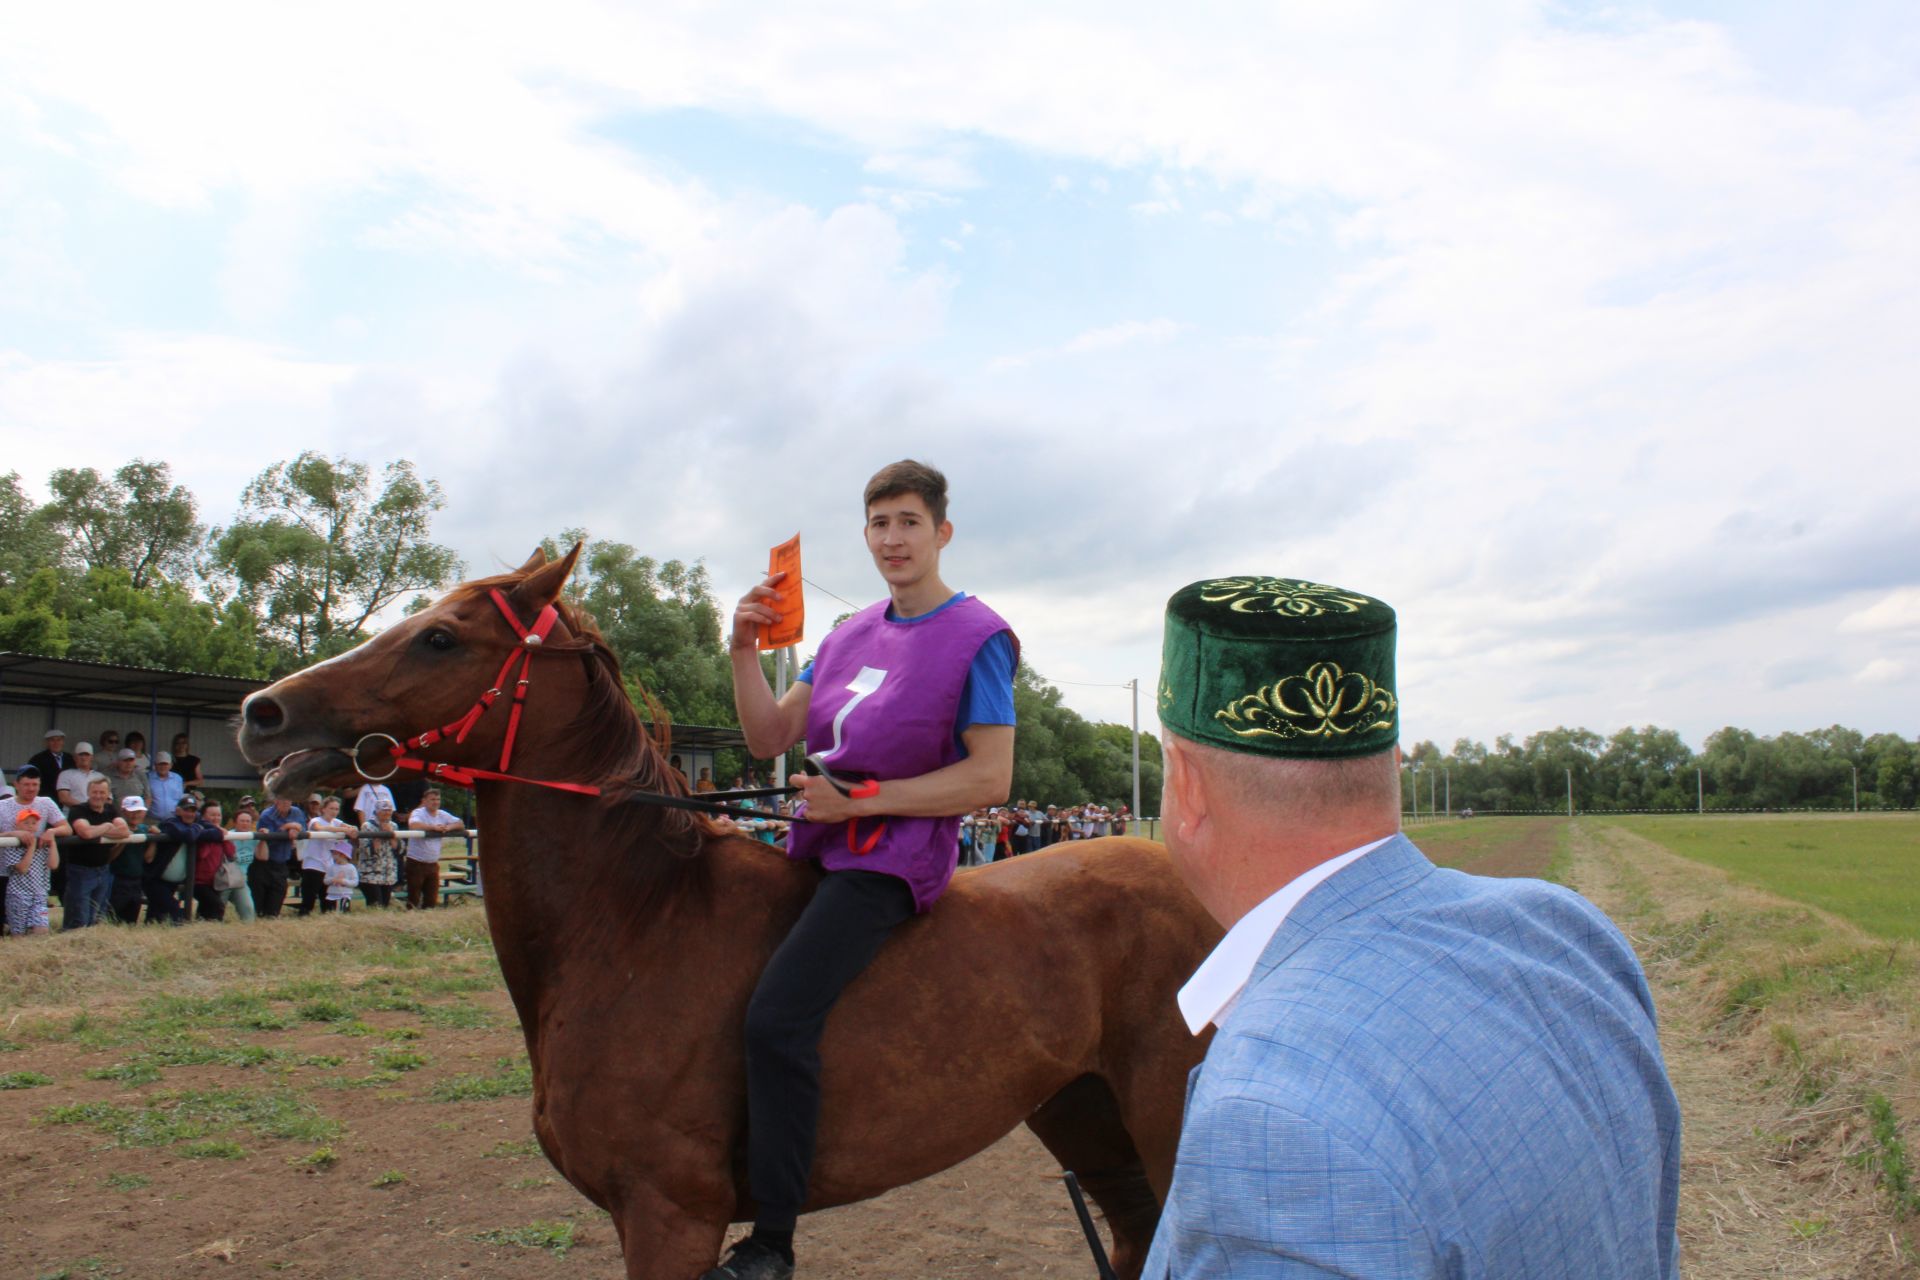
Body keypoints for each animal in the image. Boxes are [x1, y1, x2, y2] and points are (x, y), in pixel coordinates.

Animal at [236, 548, 1213, 1280]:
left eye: (439, 638)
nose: (261, 713)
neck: (636, 923)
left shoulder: (670, 1217)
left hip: (1165, 1120)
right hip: (1087, 1118)